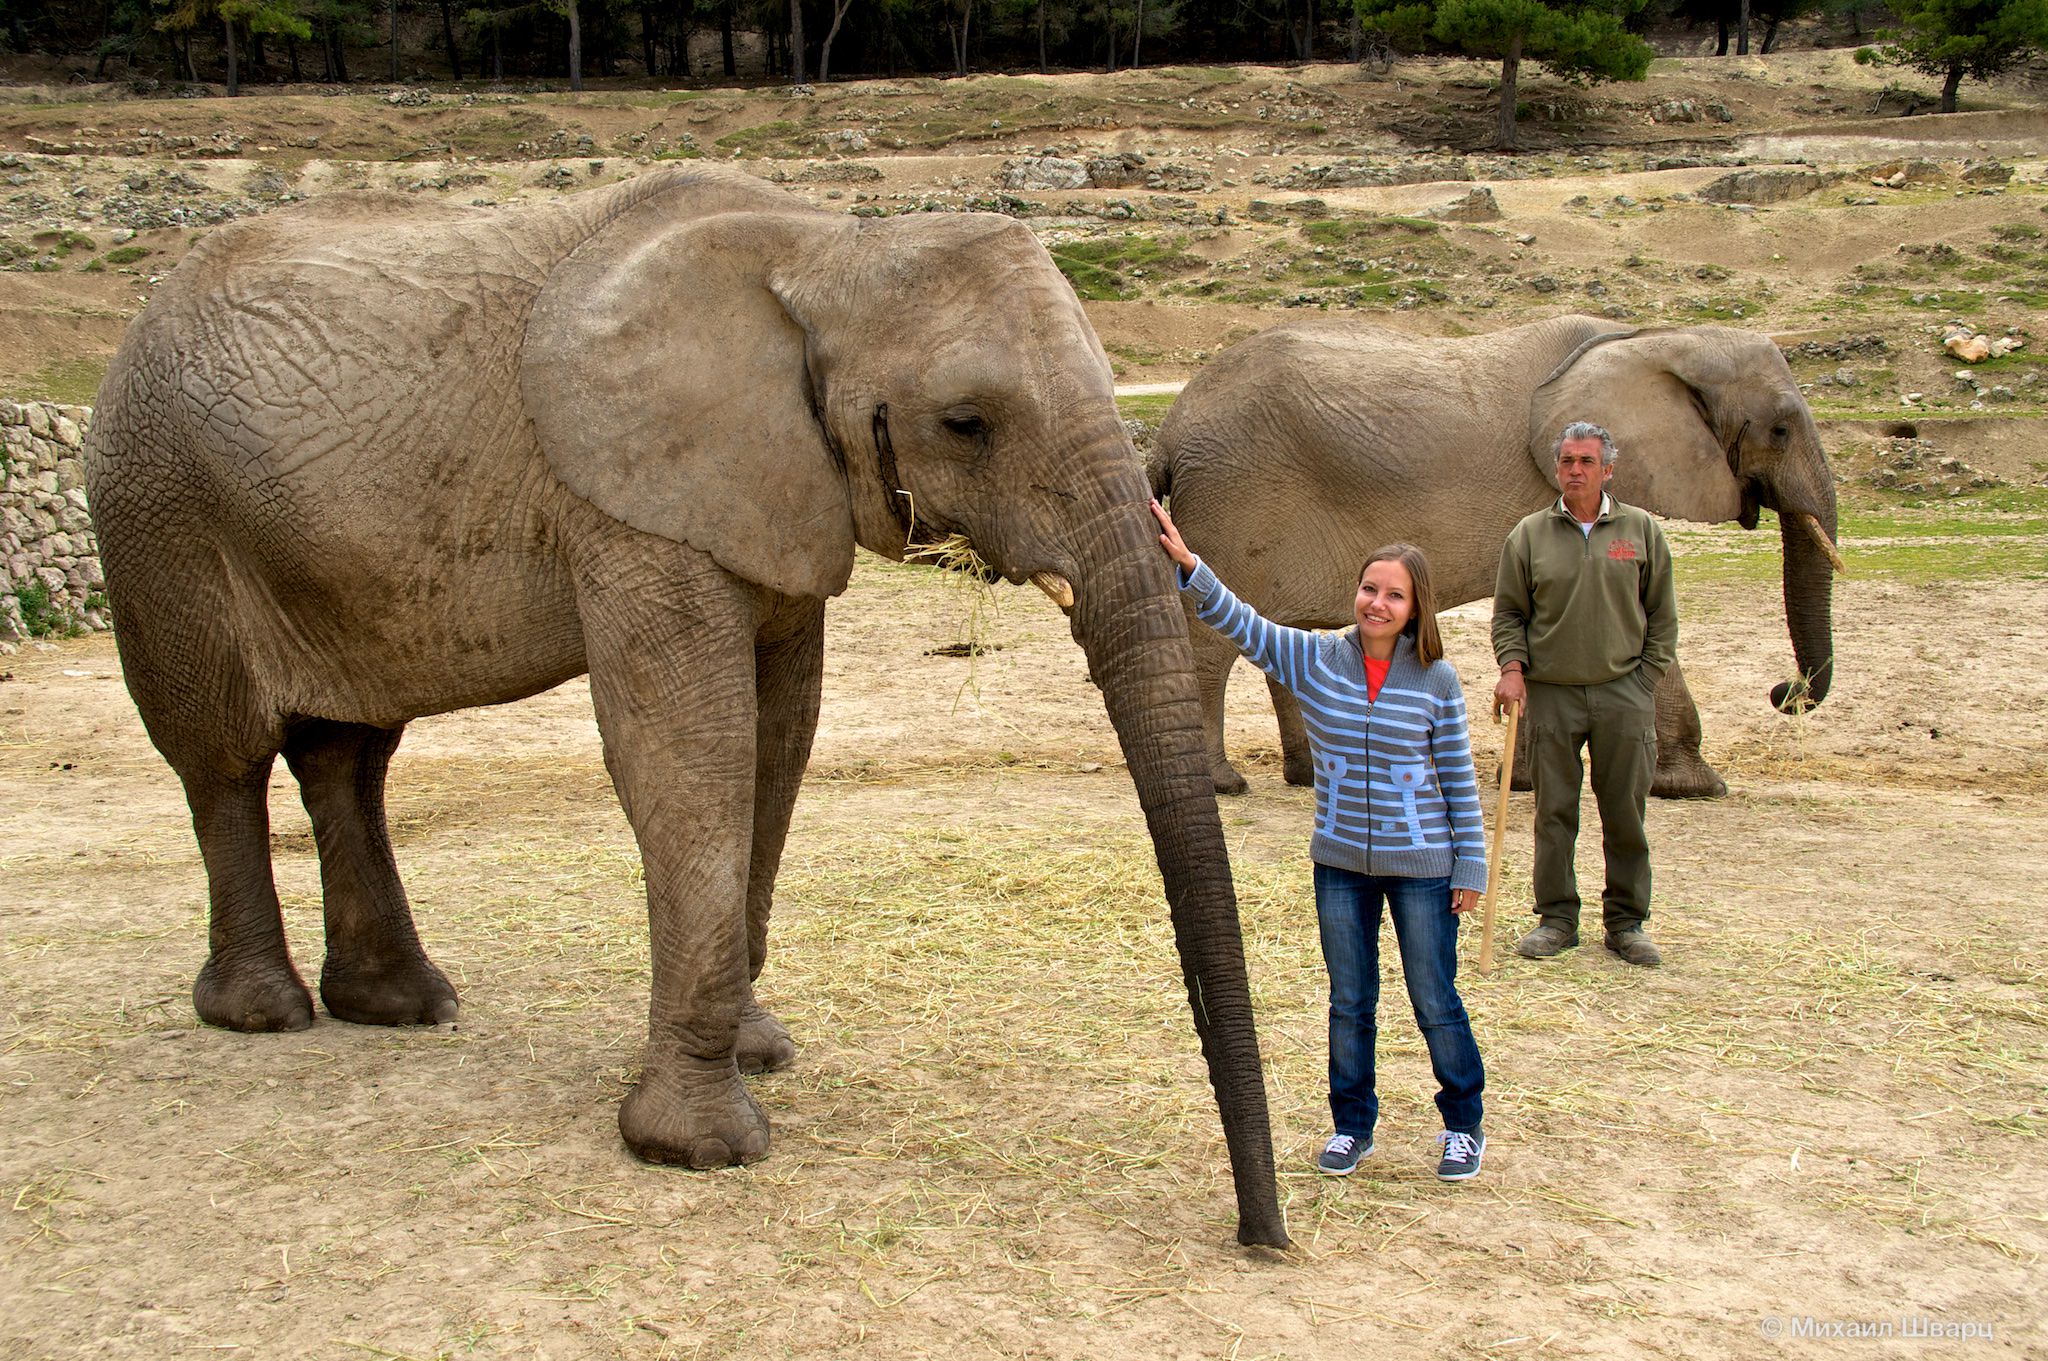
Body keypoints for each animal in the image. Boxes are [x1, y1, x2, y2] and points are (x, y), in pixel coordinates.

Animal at [88, 166, 1294, 1244]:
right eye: (966, 423)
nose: (1261, 1233)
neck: (824, 246)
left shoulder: (771, 489)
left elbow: (780, 735)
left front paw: (760, 1050)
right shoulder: (635, 495)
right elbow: (686, 743)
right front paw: (695, 1146)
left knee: (352, 753)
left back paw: (402, 1003)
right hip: (160, 516)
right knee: (222, 757)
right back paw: (262, 1012)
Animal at [1155, 315, 1843, 798]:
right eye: (1781, 430)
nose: (1783, 691)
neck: (1658, 339)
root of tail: (1169, 428)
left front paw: (1534, 784)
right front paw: (1697, 788)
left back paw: (1308, 777)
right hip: (1235, 495)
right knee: (1210, 642)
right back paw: (1222, 782)